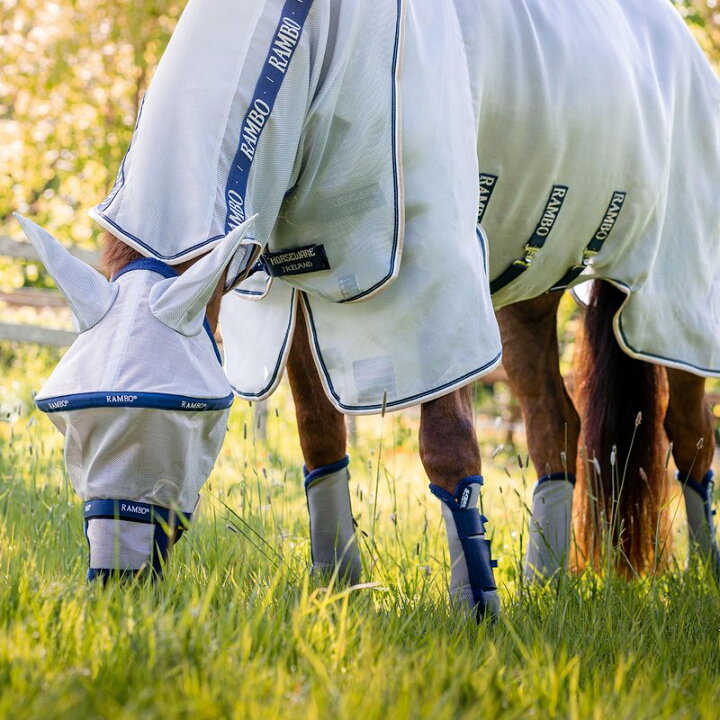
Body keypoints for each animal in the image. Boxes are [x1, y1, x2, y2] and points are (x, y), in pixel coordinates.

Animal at [17, 0, 720, 619]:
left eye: (195, 417)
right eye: (68, 420)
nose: (117, 581)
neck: (313, 39)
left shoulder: (432, 273)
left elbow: (448, 447)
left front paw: (478, 613)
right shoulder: (291, 281)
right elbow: (319, 437)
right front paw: (339, 590)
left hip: (672, 295)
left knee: (689, 434)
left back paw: (702, 577)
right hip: (530, 292)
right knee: (557, 425)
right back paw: (543, 584)